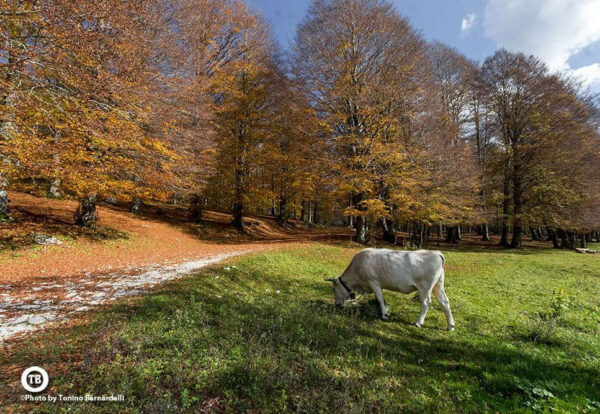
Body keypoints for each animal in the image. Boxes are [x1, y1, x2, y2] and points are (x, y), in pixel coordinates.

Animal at [326, 249, 458, 330]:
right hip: (438, 285)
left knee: (426, 302)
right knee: (444, 302)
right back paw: (450, 326)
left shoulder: (373, 282)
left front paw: (384, 315)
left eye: (333, 289)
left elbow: (380, 299)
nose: (337, 304)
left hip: (425, 287)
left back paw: (418, 322)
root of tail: (436, 252)